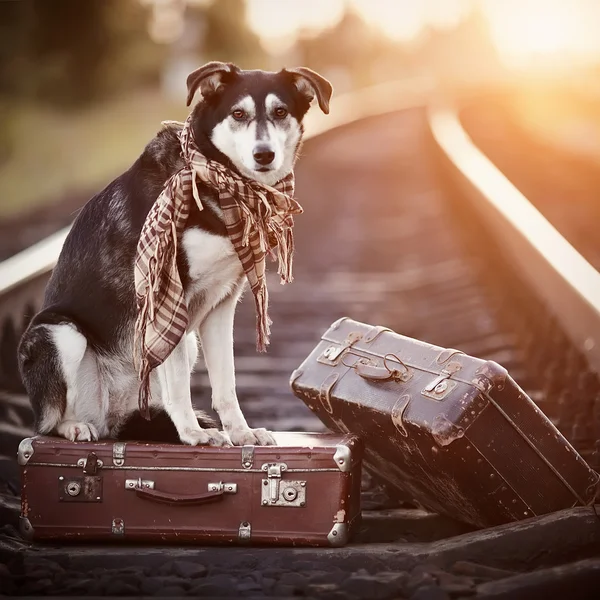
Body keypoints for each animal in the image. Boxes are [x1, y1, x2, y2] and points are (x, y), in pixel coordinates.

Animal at [16, 62, 332, 446]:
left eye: (281, 112)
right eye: (238, 114)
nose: (264, 154)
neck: (219, 179)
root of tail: (111, 417)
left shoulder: (222, 304)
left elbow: (226, 383)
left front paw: (240, 432)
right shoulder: (169, 296)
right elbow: (180, 384)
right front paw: (194, 434)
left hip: (183, 344)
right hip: (59, 333)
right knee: (47, 421)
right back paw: (75, 426)